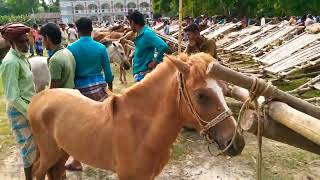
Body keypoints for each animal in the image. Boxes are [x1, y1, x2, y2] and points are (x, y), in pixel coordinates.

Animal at [29, 52, 245, 180]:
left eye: (225, 90)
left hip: (61, 151)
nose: (237, 143)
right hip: (49, 153)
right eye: (201, 95)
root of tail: (39, 97)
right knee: (37, 171)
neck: (142, 132)